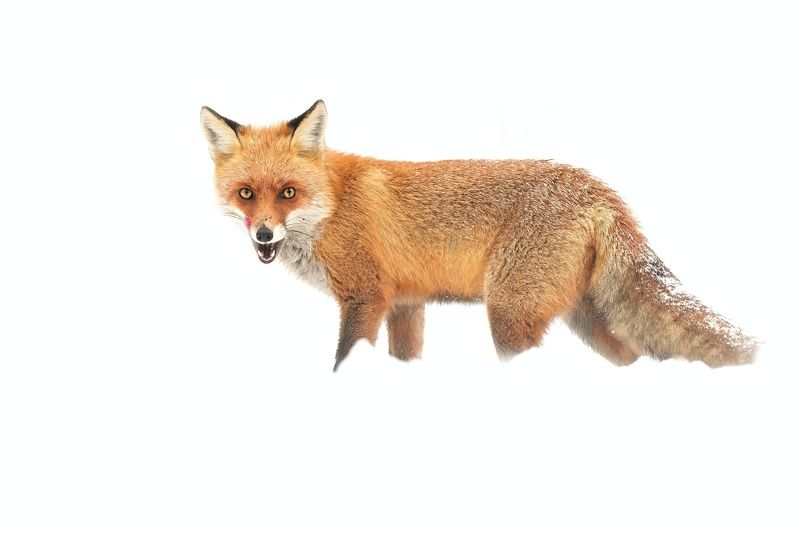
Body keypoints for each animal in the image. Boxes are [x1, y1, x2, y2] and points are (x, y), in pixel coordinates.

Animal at [200, 100, 757, 371]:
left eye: (287, 193)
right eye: (246, 194)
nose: (264, 235)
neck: (332, 205)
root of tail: (598, 189)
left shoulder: (365, 297)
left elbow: (344, 360)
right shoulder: (405, 303)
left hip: (509, 316)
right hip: (584, 319)